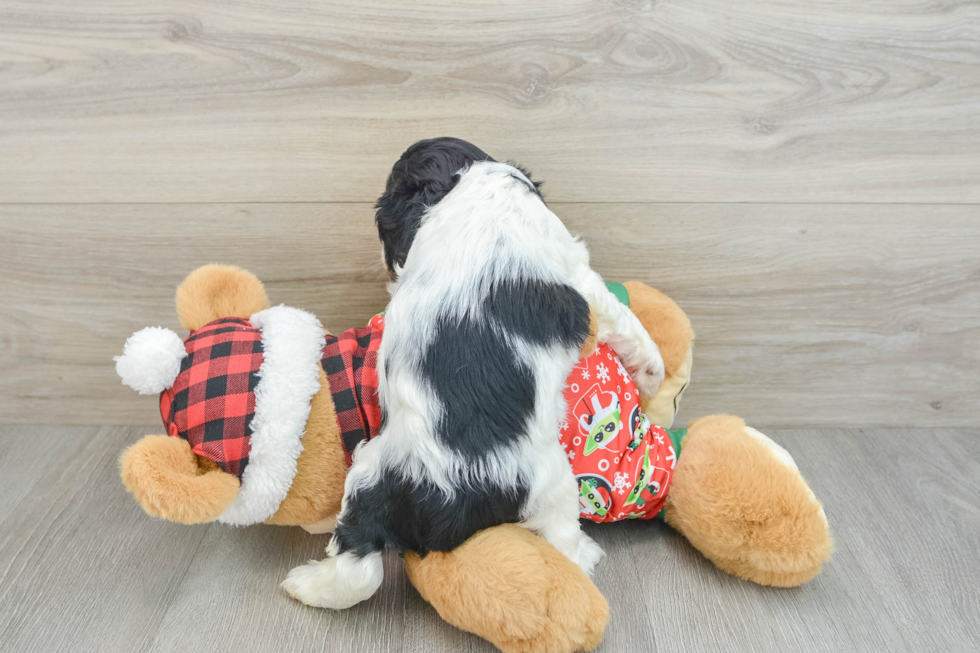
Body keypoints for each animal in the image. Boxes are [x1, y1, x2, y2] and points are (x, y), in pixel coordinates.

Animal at [284, 139, 668, 612]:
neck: (469, 186)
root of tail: (449, 494)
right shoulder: (580, 275)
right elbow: (630, 326)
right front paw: (653, 379)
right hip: (548, 483)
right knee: (560, 538)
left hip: (371, 472)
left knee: (358, 564)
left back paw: (306, 584)